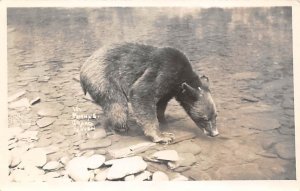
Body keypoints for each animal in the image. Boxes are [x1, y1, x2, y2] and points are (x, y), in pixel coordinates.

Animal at [79, 42, 218, 143]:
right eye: (204, 118)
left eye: (216, 115)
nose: (215, 133)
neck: (180, 78)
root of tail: (82, 70)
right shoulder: (163, 71)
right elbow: (141, 93)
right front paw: (162, 136)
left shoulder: (168, 90)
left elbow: (161, 103)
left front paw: (164, 119)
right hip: (104, 80)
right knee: (117, 105)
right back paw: (124, 129)